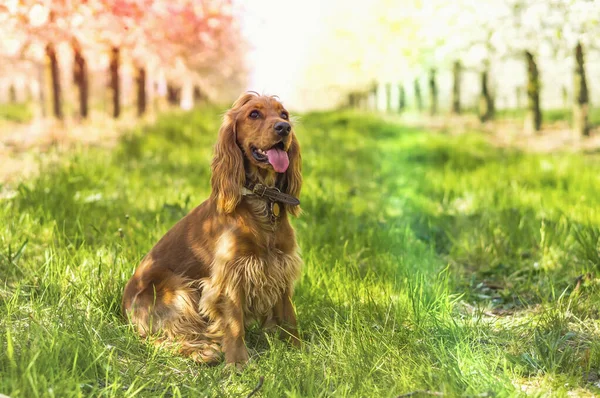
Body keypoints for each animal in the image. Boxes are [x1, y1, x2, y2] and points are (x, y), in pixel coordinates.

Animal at [122, 91, 302, 366]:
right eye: (254, 114)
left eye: (284, 114)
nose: (284, 128)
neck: (261, 200)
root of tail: (123, 307)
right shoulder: (231, 274)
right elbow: (235, 323)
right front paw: (238, 364)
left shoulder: (280, 266)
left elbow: (288, 316)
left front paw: (301, 351)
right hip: (175, 288)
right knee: (161, 339)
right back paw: (204, 351)